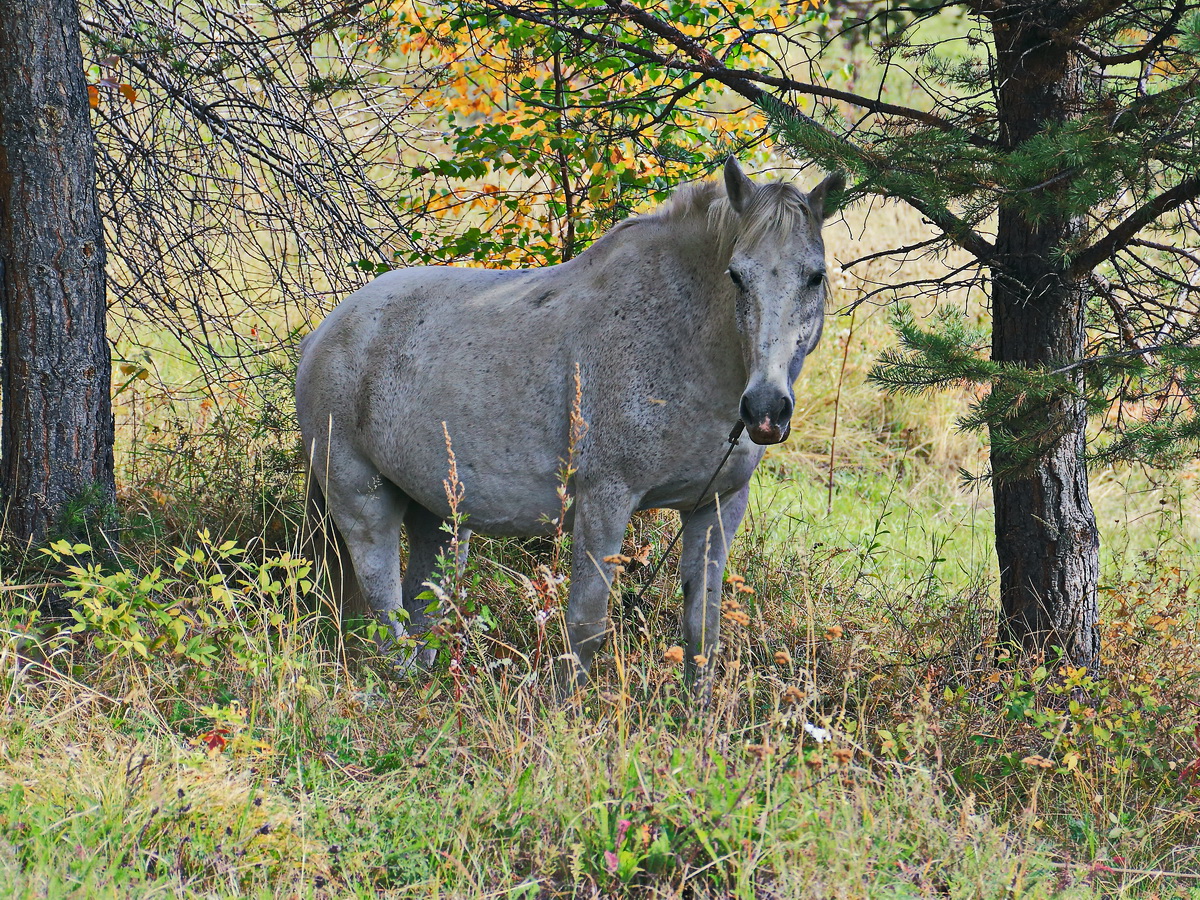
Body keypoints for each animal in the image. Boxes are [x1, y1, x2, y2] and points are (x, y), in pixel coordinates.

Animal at [297, 160, 844, 681]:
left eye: (815, 276)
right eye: (736, 275)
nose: (766, 410)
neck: (683, 343)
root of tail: (324, 333)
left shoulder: (717, 506)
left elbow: (701, 633)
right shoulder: (605, 501)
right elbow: (587, 626)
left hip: (439, 515)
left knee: (425, 610)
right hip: (362, 502)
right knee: (386, 615)